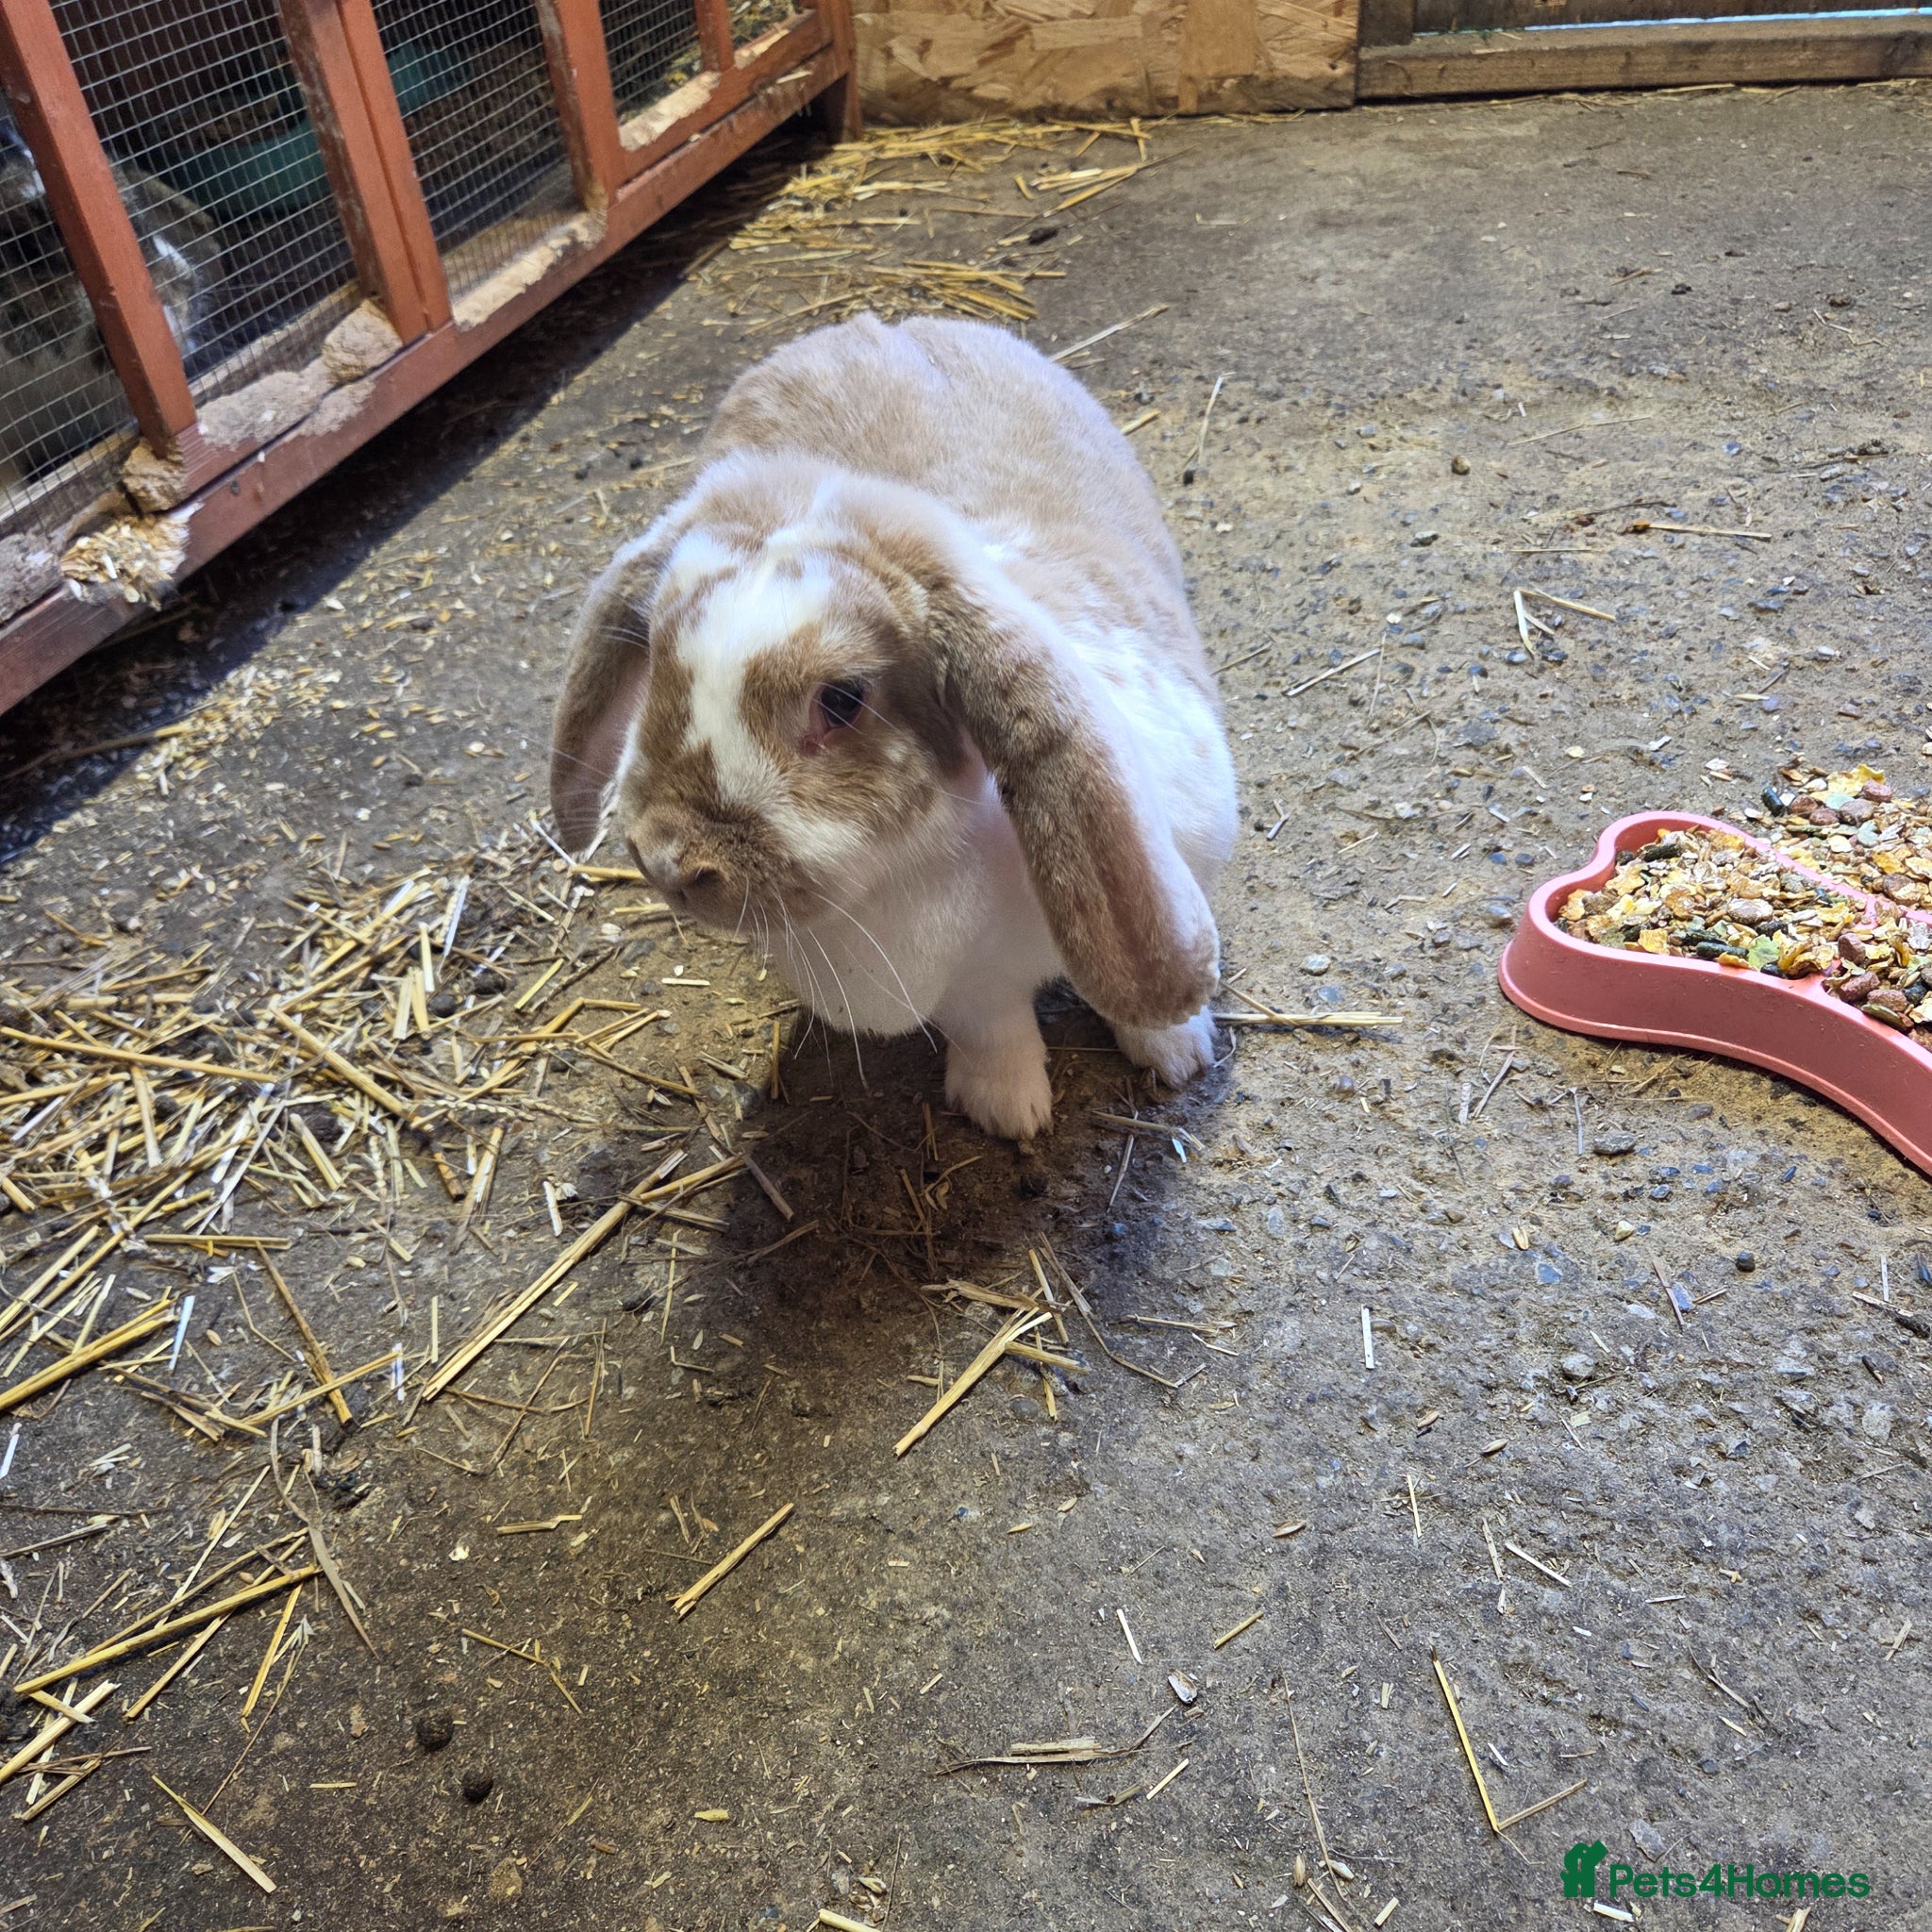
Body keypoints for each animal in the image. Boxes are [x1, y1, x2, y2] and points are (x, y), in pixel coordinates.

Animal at [550, 314, 1238, 1139]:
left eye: (843, 698)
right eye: (654, 653)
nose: (666, 862)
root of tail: (872, 324)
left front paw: (1180, 1054)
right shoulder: (966, 990)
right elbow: (993, 1029)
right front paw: (1006, 1112)